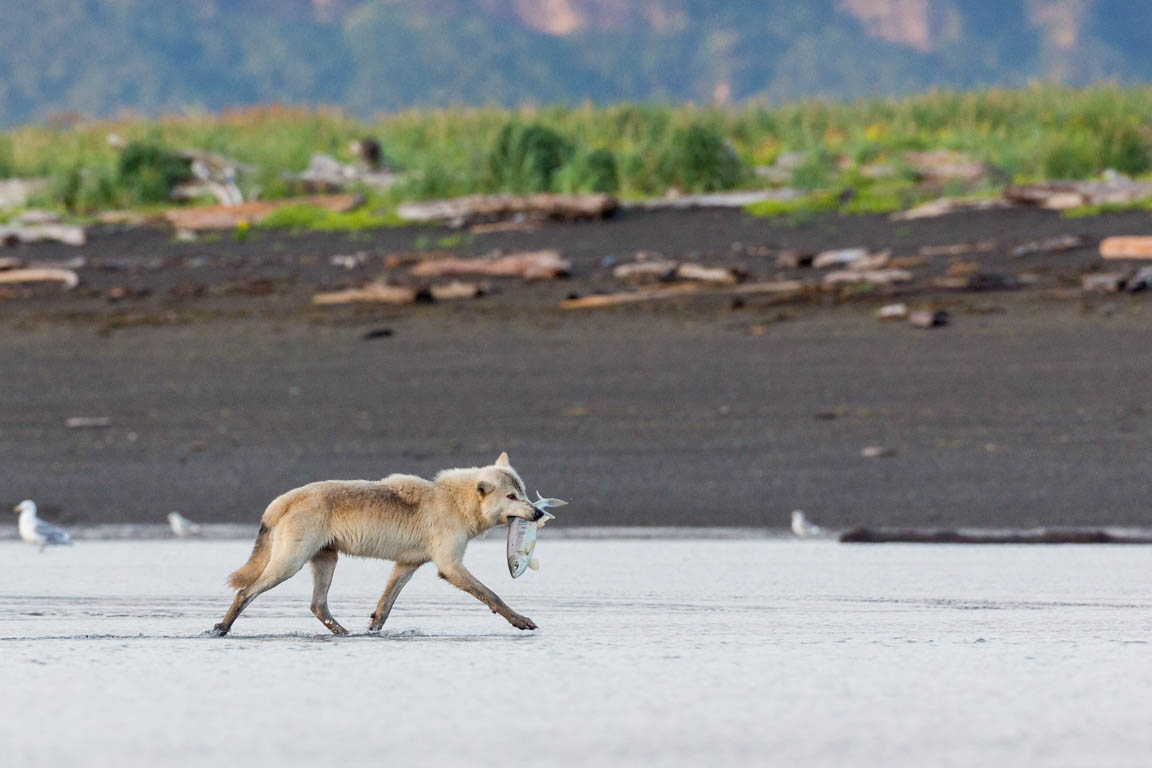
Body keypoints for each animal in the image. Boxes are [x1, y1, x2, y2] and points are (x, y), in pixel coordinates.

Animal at [210, 453, 548, 640]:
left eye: (523, 492)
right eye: (512, 497)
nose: (539, 513)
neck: (456, 502)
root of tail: (283, 498)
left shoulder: (407, 565)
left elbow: (383, 609)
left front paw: (372, 634)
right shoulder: (450, 567)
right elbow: (493, 595)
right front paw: (521, 621)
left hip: (325, 562)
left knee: (318, 605)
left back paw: (347, 635)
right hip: (288, 566)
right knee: (245, 592)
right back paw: (220, 629)